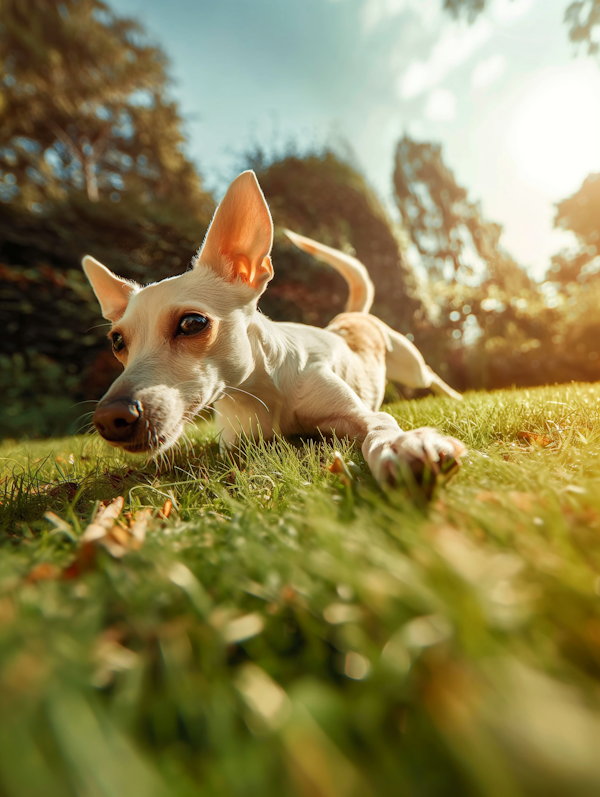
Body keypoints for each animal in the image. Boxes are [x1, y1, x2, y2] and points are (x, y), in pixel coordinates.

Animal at [82, 171, 464, 488]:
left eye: (192, 323)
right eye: (117, 341)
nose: (109, 418)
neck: (260, 391)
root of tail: (347, 317)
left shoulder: (360, 416)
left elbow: (379, 426)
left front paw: (401, 445)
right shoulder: (236, 444)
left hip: (410, 367)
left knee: (430, 375)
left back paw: (457, 396)